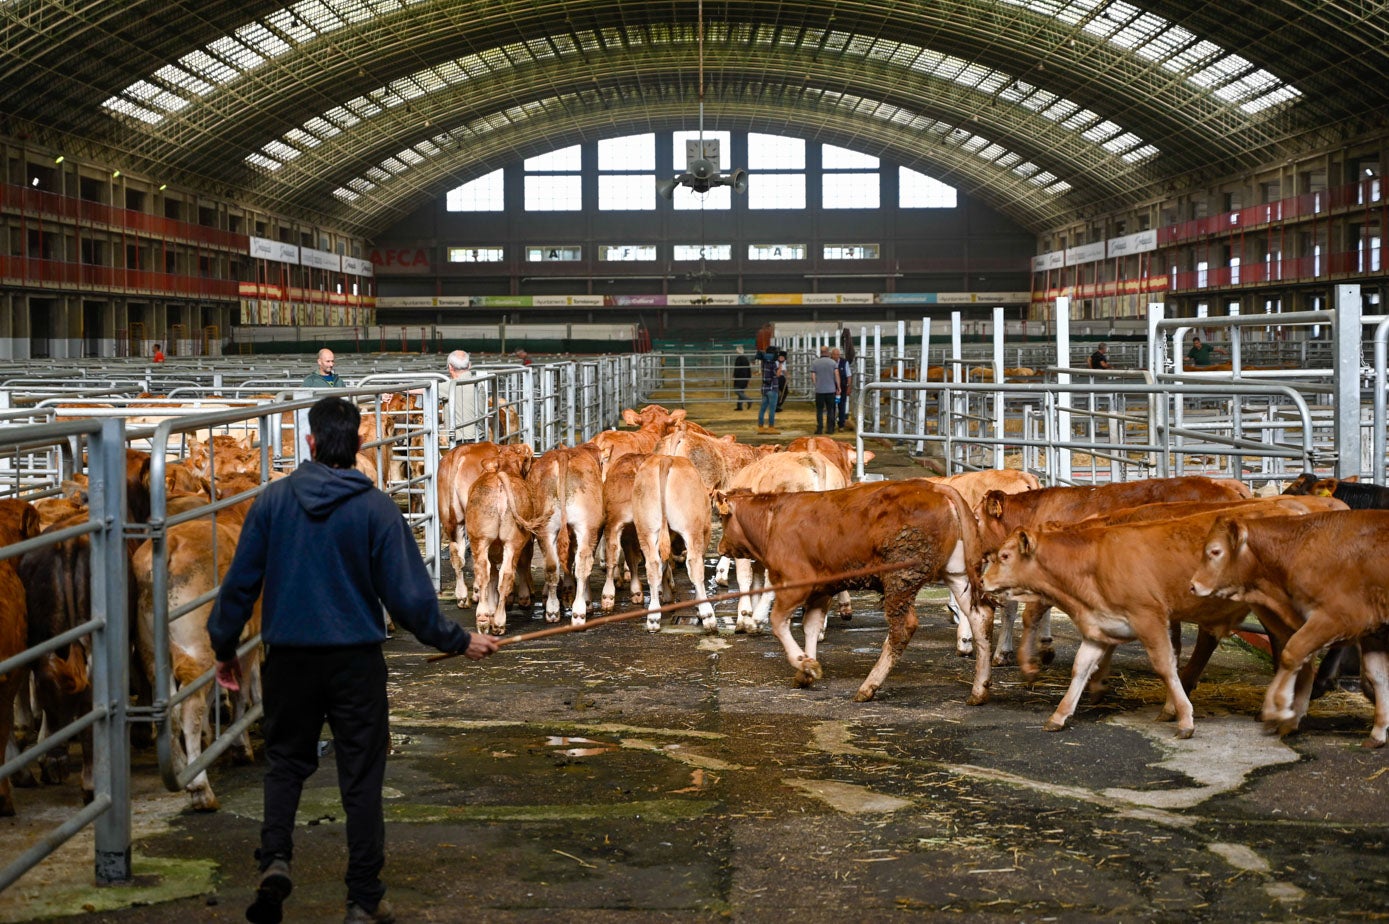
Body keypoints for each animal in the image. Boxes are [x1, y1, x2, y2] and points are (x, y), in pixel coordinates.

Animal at [711, 477, 994, 703]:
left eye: (724, 518)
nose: (720, 547)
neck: (772, 521)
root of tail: (936, 487)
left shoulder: (795, 583)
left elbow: (778, 622)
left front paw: (803, 662)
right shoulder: (822, 589)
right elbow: (811, 626)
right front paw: (806, 671)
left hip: (900, 578)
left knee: (902, 628)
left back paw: (869, 686)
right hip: (956, 573)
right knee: (980, 616)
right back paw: (979, 690)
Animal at [1188, 508, 1389, 744]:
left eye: (1215, 551)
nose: (1193, 585)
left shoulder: (1337, 617)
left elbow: (1292, 653)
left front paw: (1277, 708)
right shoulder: (1373, 633)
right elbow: (1378, 676)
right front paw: (1378, 733)